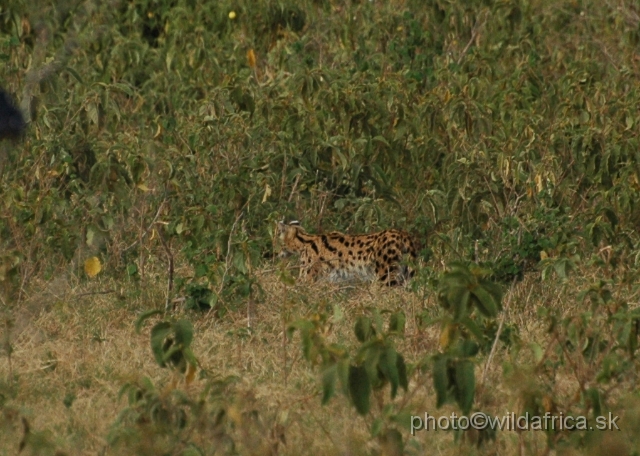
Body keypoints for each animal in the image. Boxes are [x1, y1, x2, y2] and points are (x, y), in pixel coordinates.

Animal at [276, 221, 418, 284]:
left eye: (277, 238)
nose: (276, 253)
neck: (304, 240)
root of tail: (402, 232)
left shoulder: (307, 278)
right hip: (404, 275)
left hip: (386, 276)